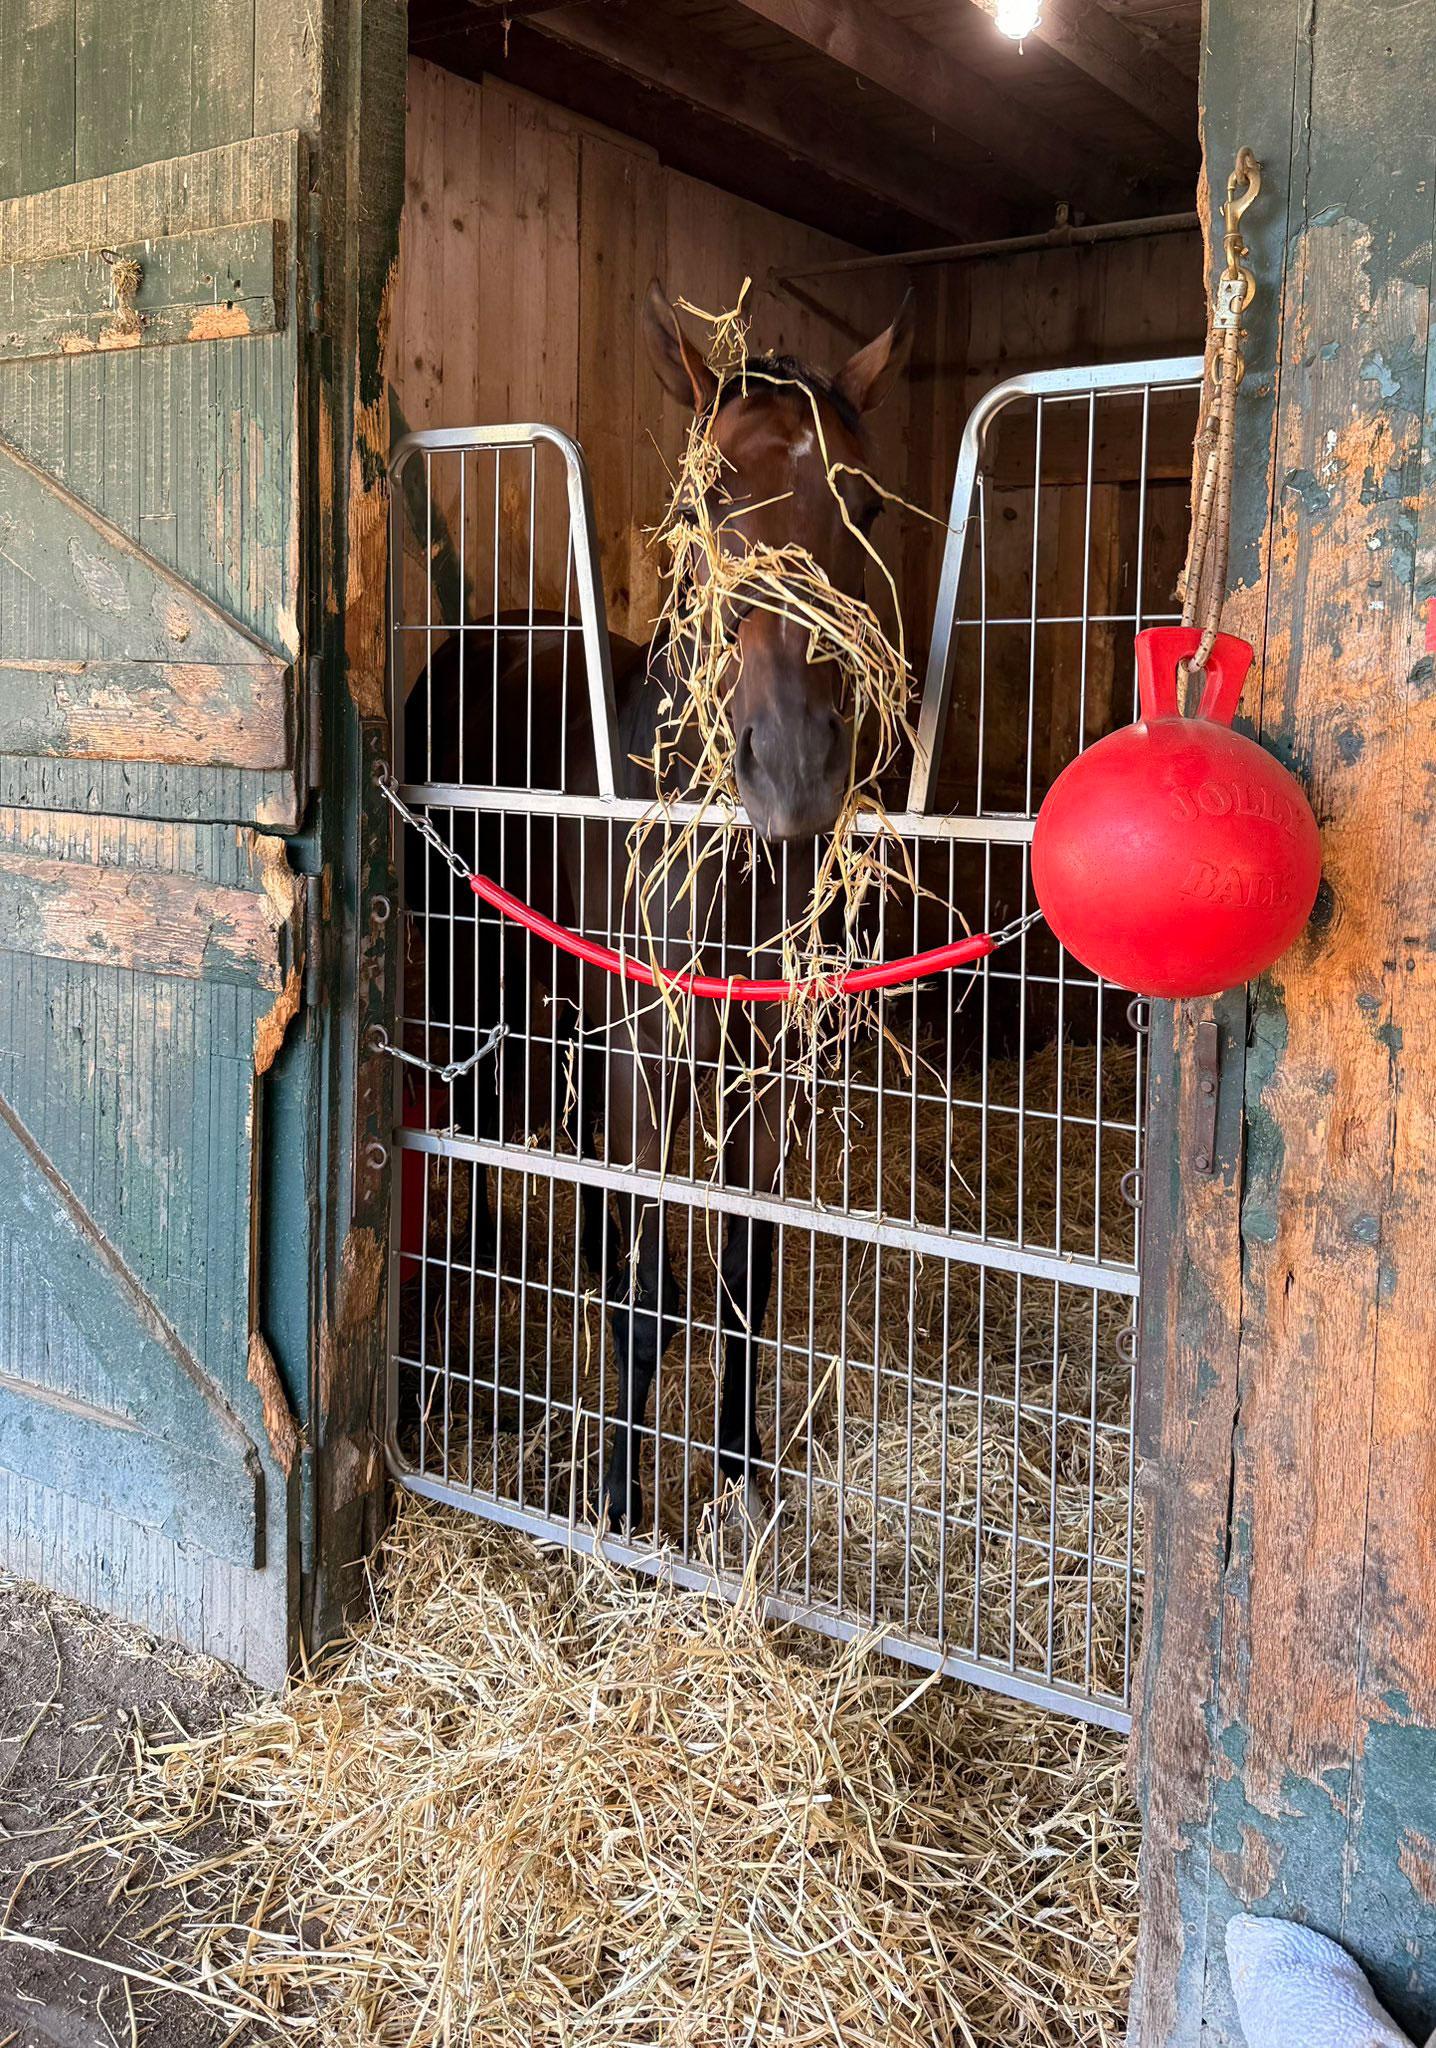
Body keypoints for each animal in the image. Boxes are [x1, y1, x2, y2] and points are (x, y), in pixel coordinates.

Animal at [403, 278, 914, 1534]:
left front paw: (737, 1478)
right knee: (478, 1132)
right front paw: (621, 1502)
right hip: (478, 970)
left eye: (863, 505)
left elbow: (747, 1274)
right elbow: (637, 1286)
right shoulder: (651, 1047)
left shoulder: (764, 1067)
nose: (794, 769)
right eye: (705, 500)